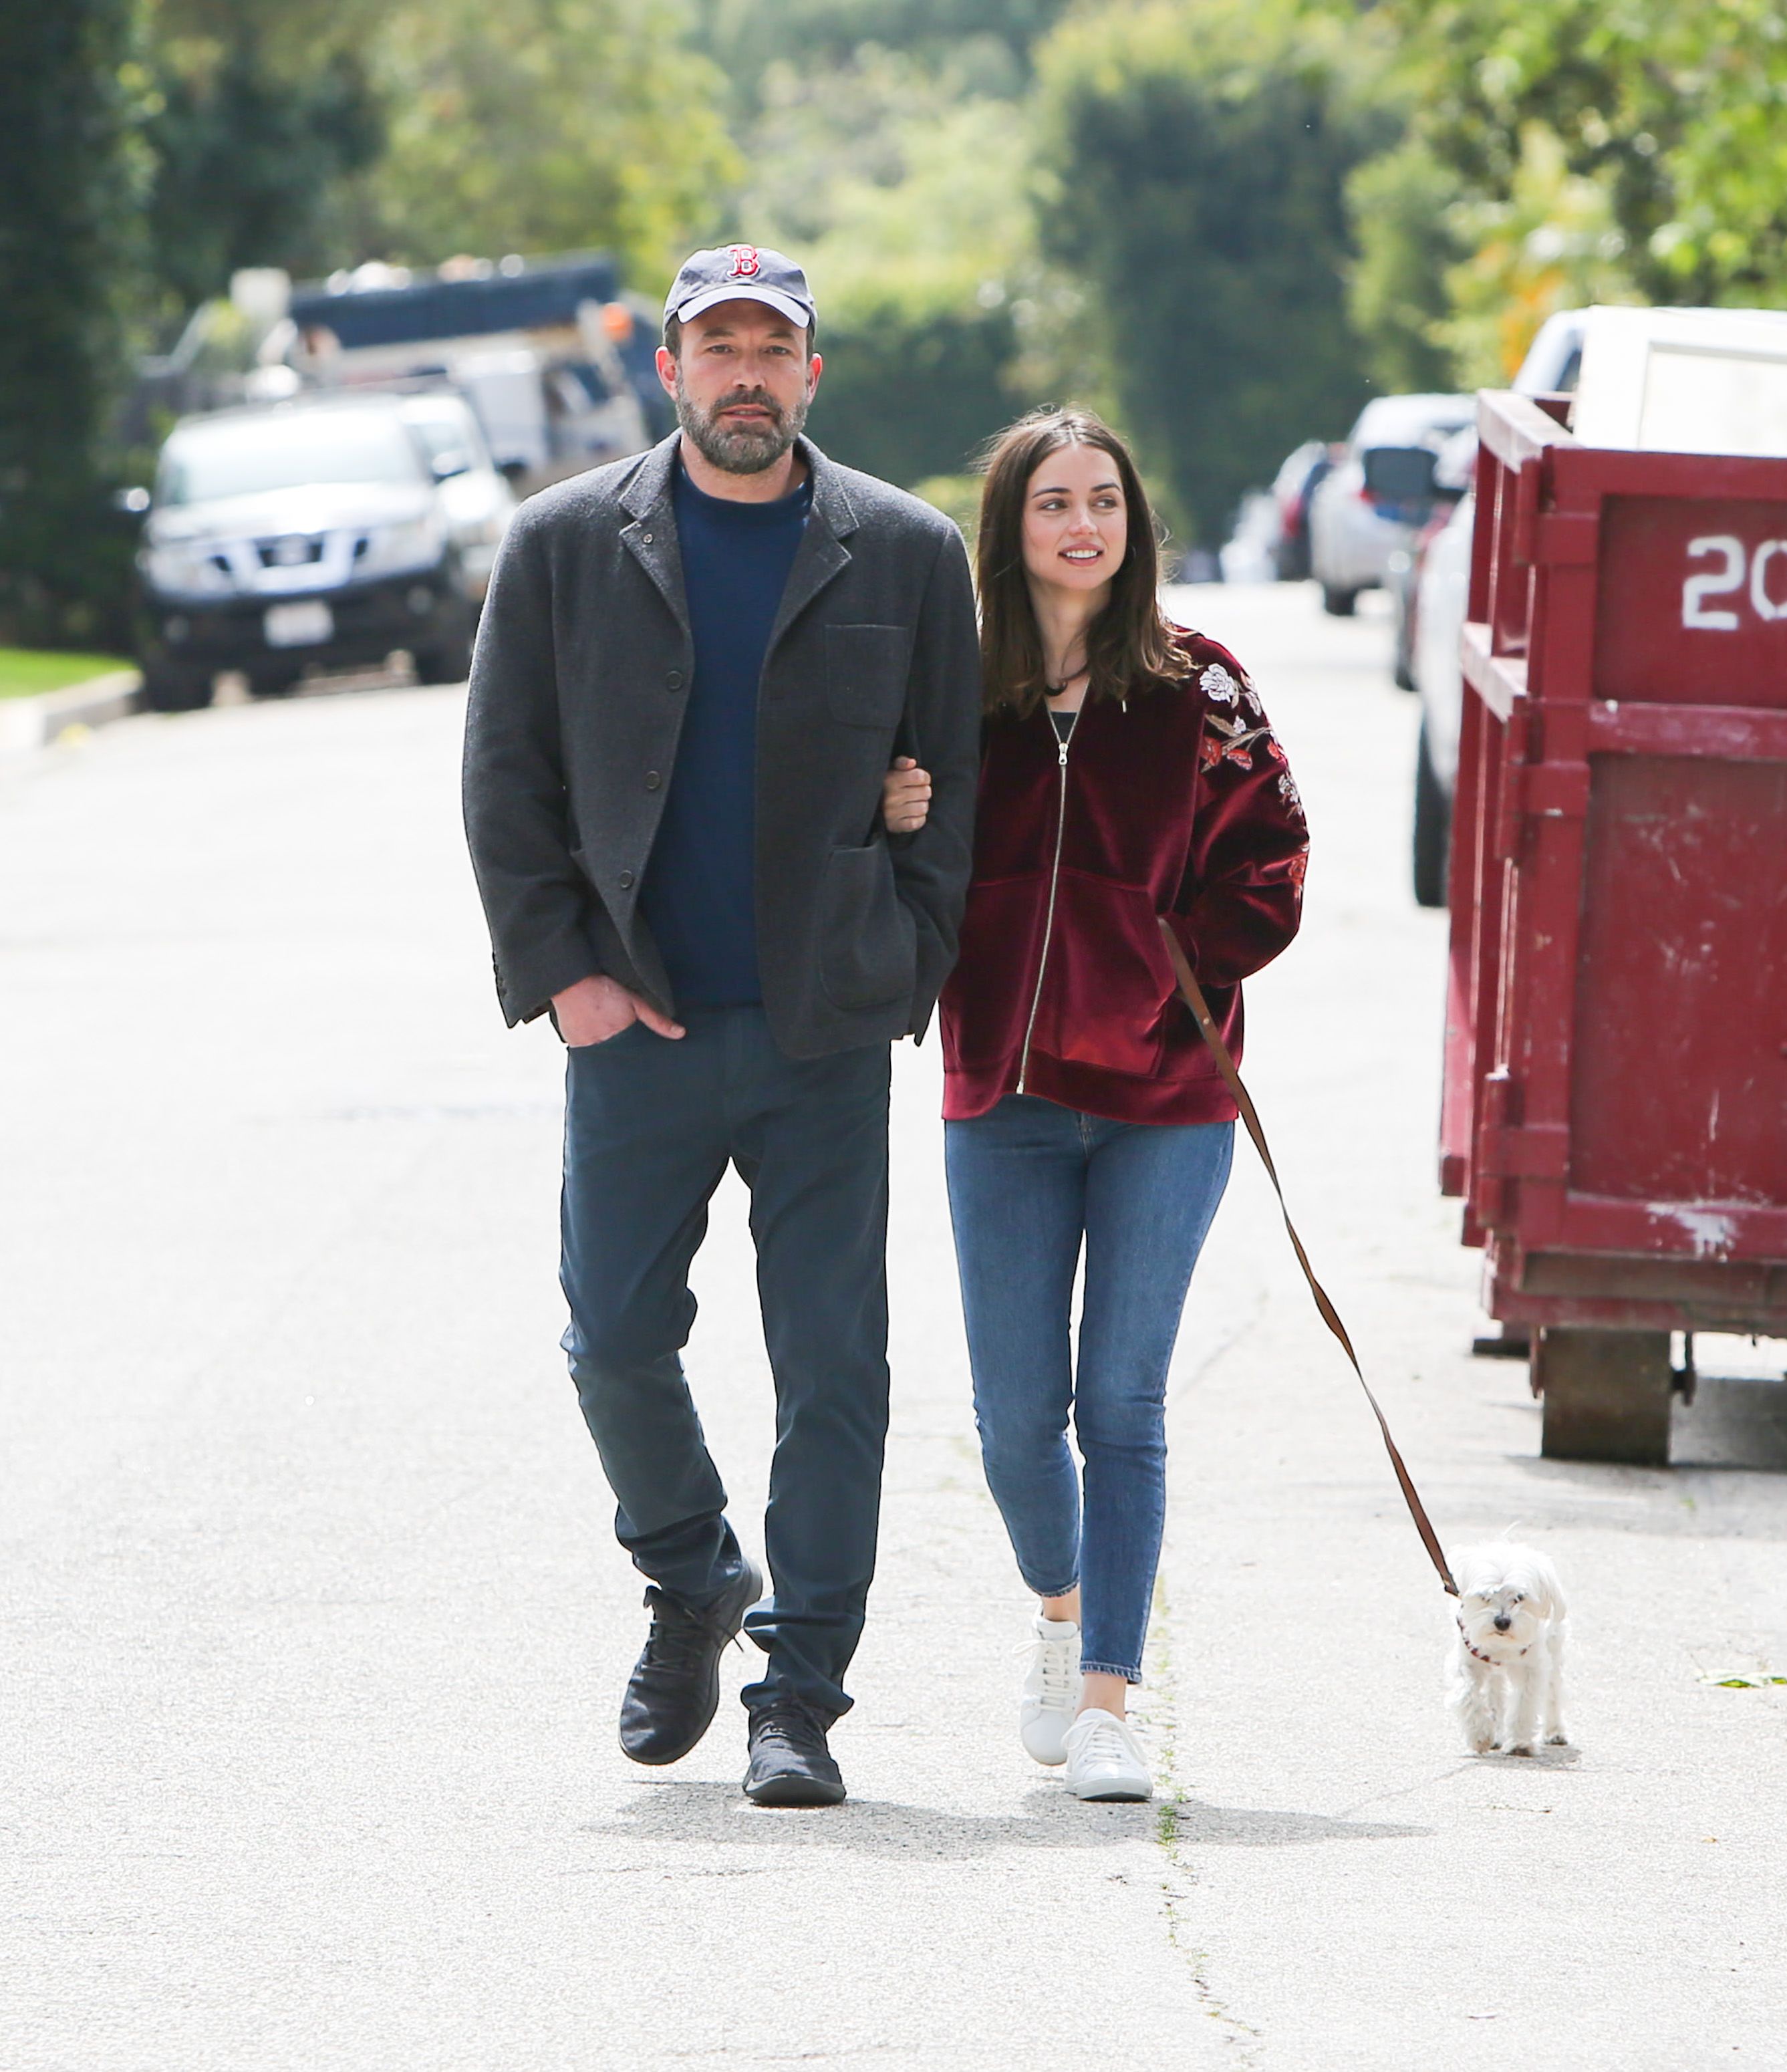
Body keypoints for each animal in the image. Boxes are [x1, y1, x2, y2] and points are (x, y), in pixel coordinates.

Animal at [1449, 1541, 1573, 1749]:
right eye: (1485, 1597)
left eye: (1519, 1597)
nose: (1502, 1621)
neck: (1502, 1645)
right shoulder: (1466, 1661)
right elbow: (1468, 1694)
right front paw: (1480, 1734)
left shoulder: (1533, 1667)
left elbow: (1525, 1703)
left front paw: (1519, 1742)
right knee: (1494, 1691)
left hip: (1554, 1648)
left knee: (1553, 1690)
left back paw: (1554, 1731)